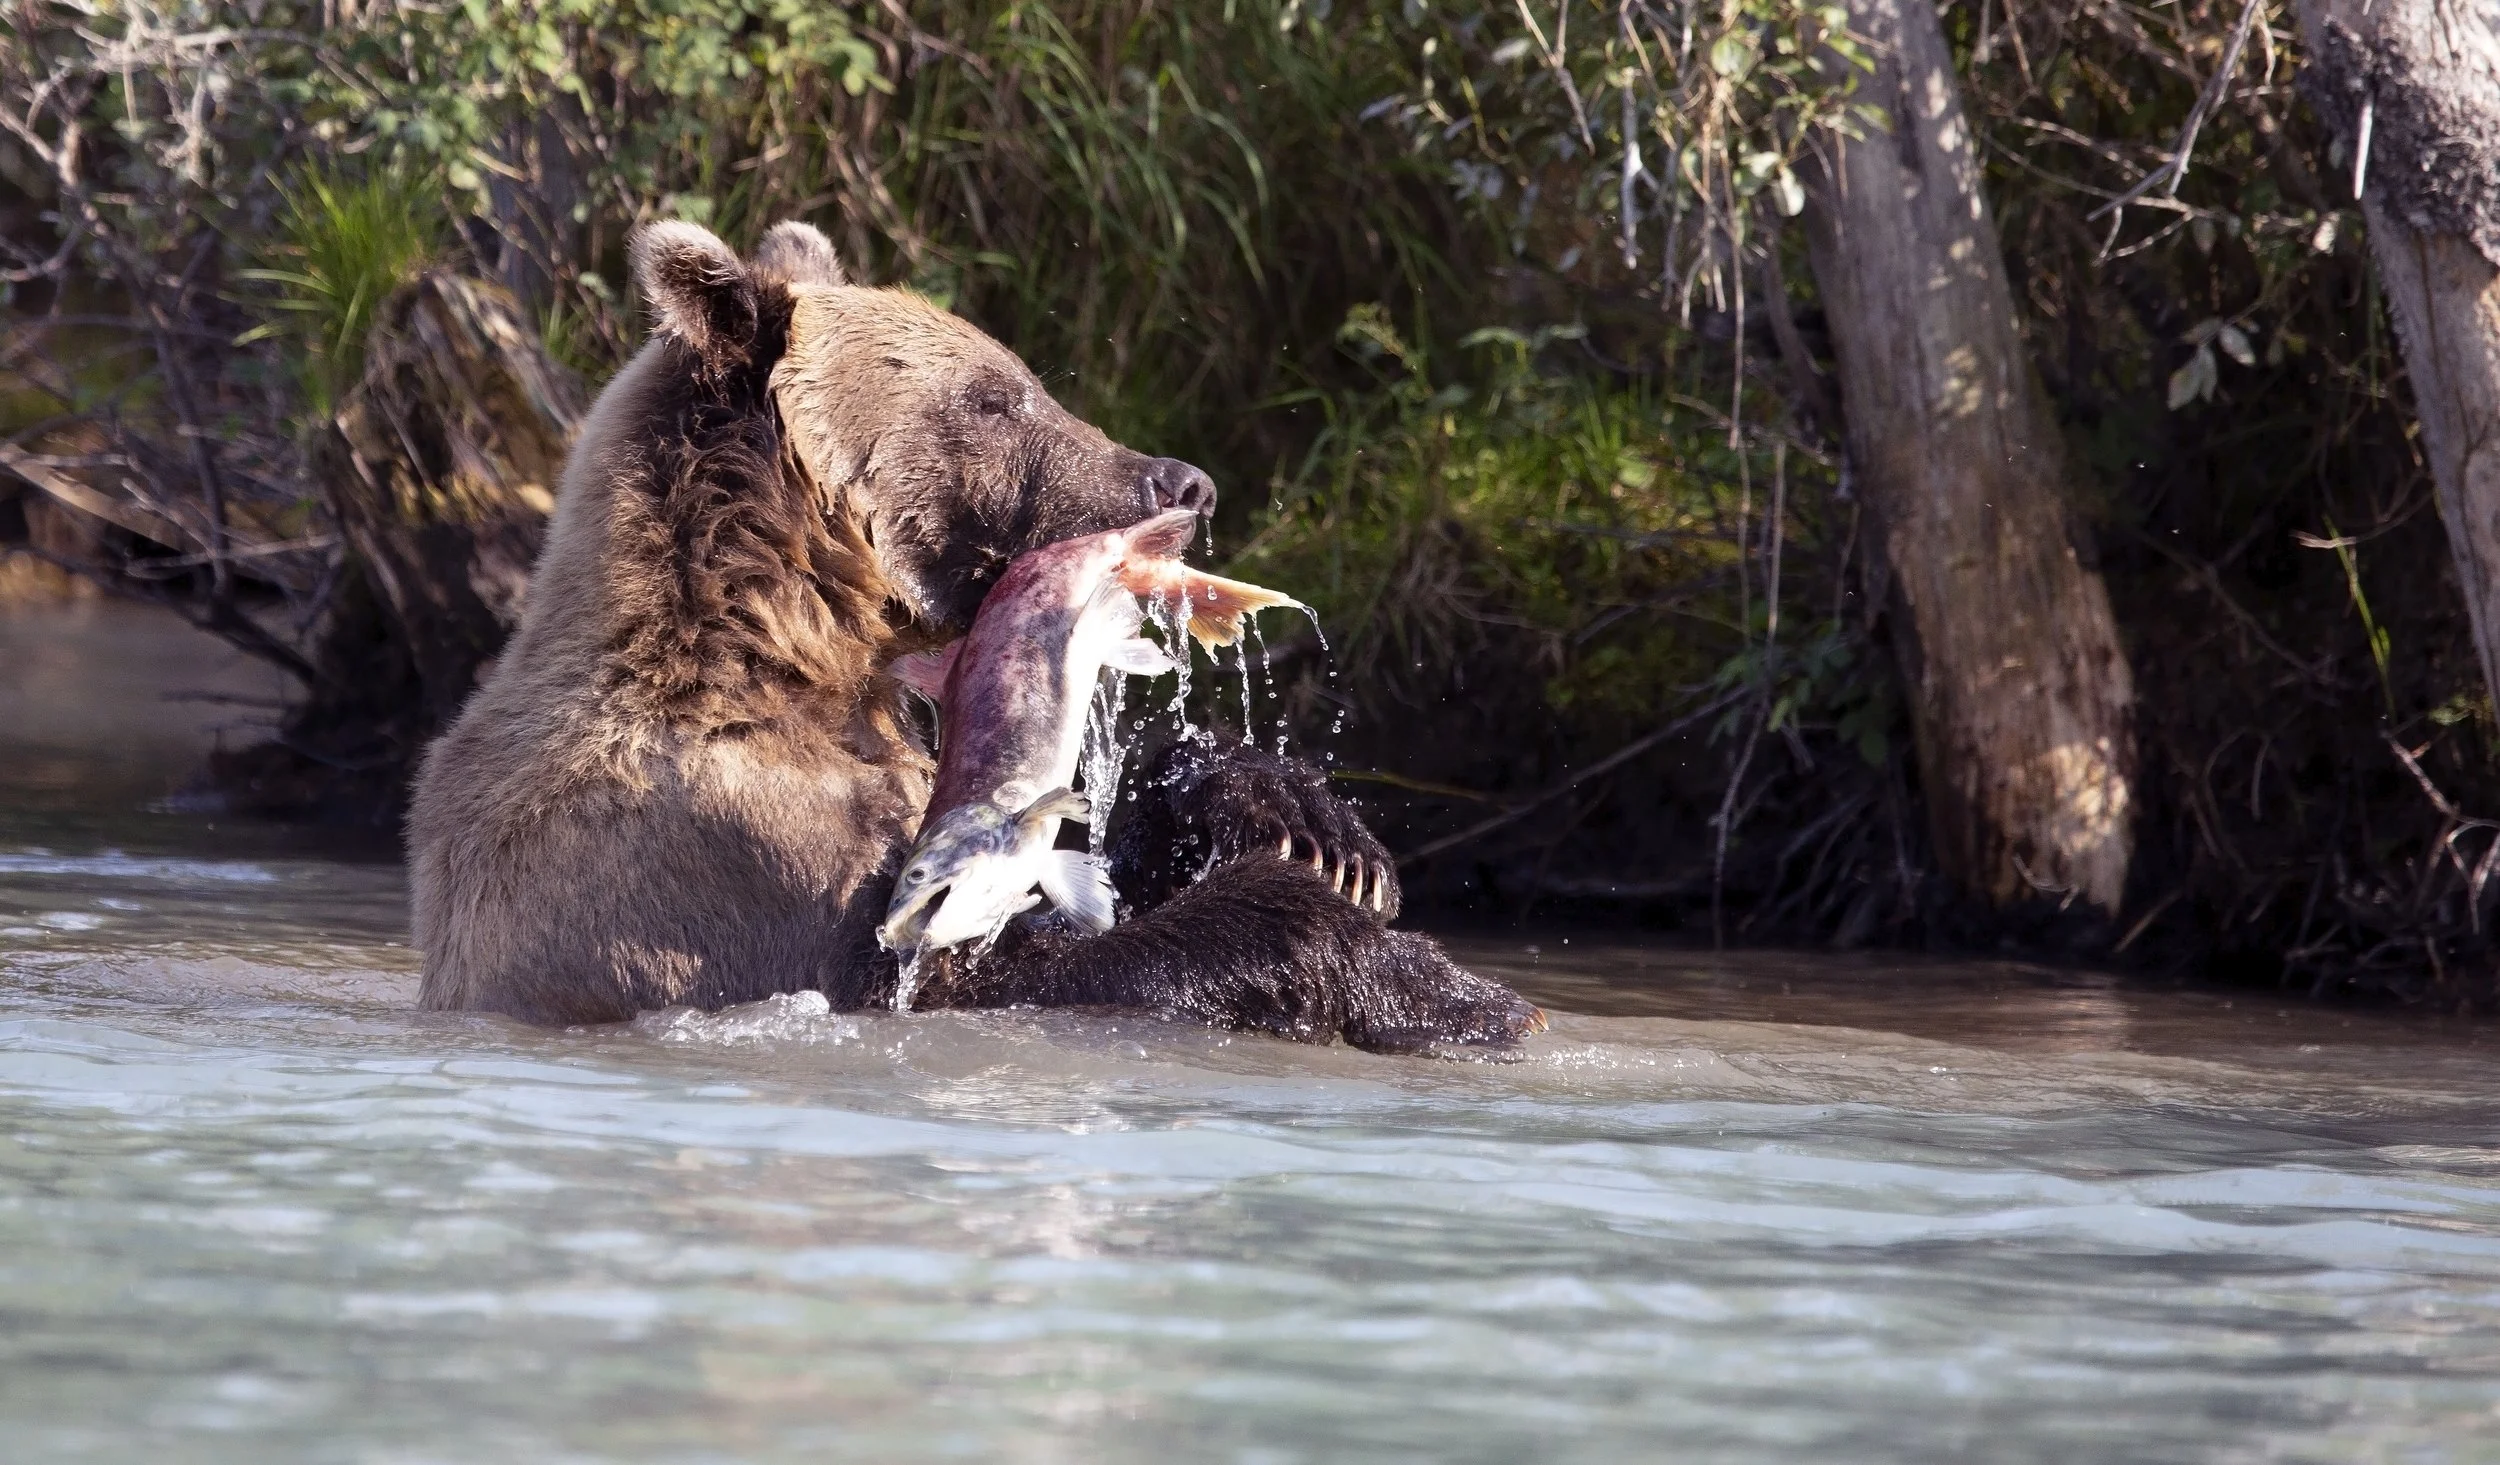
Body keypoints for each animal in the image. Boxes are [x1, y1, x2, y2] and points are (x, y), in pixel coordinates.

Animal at [405, 219, 1542, 1053]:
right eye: (996, 397)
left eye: (1017, 377)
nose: (1183, 482)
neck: (780, 648)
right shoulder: (727, 863)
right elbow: (978, 972)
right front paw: (1442, 982)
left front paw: (1311, 827)